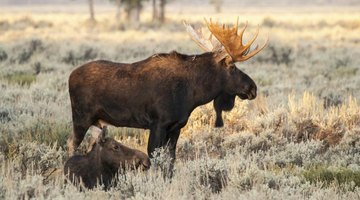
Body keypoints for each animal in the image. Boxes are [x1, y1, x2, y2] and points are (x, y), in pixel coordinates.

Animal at [67, 19, 268, 166]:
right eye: (232, 67)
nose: (252, 88)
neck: (192, 93)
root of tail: (70, 76)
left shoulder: (176, 127)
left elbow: (171, 161)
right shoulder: (158, 124)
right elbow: (154, 159)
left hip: (96, 122)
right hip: (81, 118)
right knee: (71, 145)